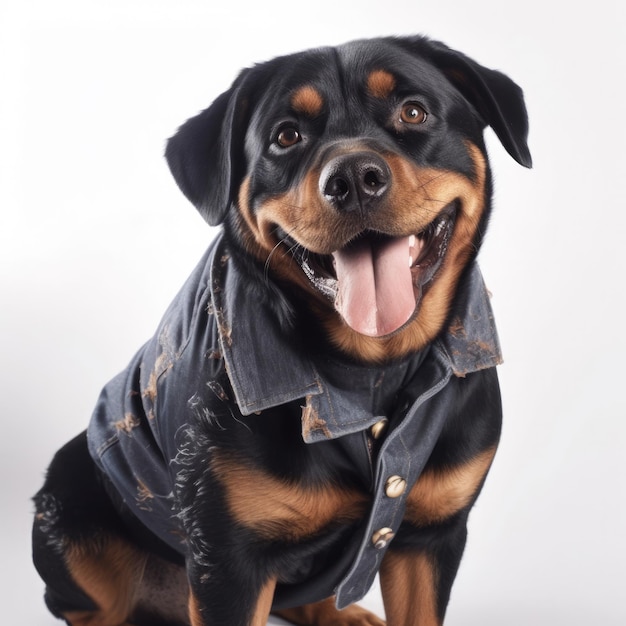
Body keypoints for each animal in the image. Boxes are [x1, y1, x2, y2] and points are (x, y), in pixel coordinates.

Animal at [33, 35, 532, 624]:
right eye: (286, 136)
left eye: (414, 112)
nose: (353, 179)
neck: (373, 370)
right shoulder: (228, 564)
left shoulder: (431, 537)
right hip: (69, 505)